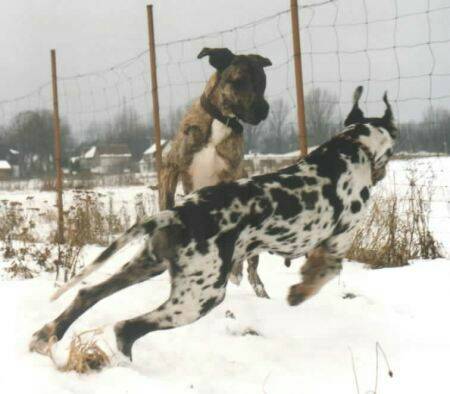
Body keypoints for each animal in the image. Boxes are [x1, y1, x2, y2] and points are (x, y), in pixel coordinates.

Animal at [29, 87, 398, 364]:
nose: (382, 173)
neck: (351, 149)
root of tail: (178, 212)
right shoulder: (336, 244)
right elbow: (323, 274)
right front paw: (298, 293)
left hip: (148, 266)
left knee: (86, 294)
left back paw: (45, 336)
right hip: (200, 297)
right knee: (125, 329)